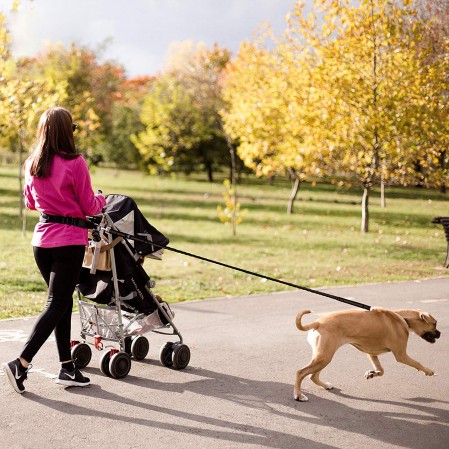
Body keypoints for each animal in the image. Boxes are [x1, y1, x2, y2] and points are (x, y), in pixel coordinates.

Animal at [292, 308, 440, 400]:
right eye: (434, 324)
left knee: (312, 375)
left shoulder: (371, 353)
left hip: (322, 356)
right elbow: (417, 363)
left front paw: (372, 374)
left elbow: (381, 370)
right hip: (324, 357)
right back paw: (299, 395)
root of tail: (318, 323)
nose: (440, 334)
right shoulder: (401, 355)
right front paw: (429, 371)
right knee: (300, 372)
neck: (403, 318)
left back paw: (325, 386)